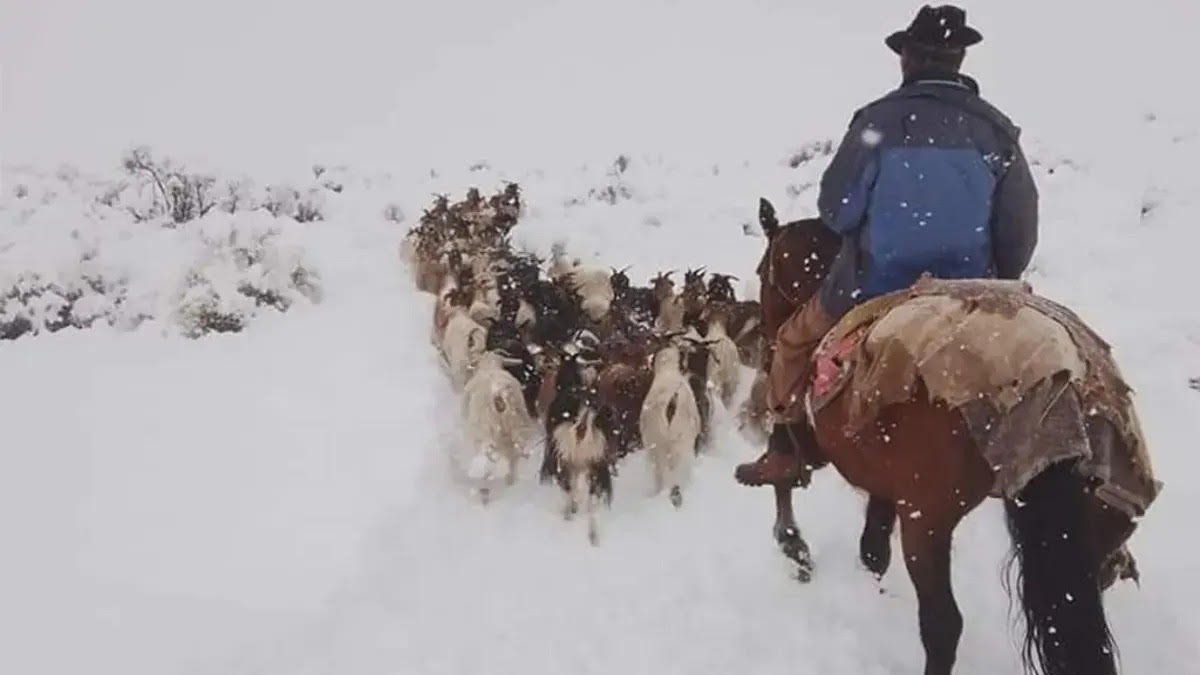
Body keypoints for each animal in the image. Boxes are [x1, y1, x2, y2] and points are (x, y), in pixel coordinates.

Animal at [460, 345, 537, 499]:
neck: (489, 366)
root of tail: (498, 396)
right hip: (518, 427)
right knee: (513, 458)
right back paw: (510, 482)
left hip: (486, 434)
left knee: (488, 459)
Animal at [744, 196, 1147, 672]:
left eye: (761, 271)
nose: (765, 333)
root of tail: (1054, 379)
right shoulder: (884, 481)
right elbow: (873, 546)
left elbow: (786, 471)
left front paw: (792, 542)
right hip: (1098, 523)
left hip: (928, 523)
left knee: (942, 624)